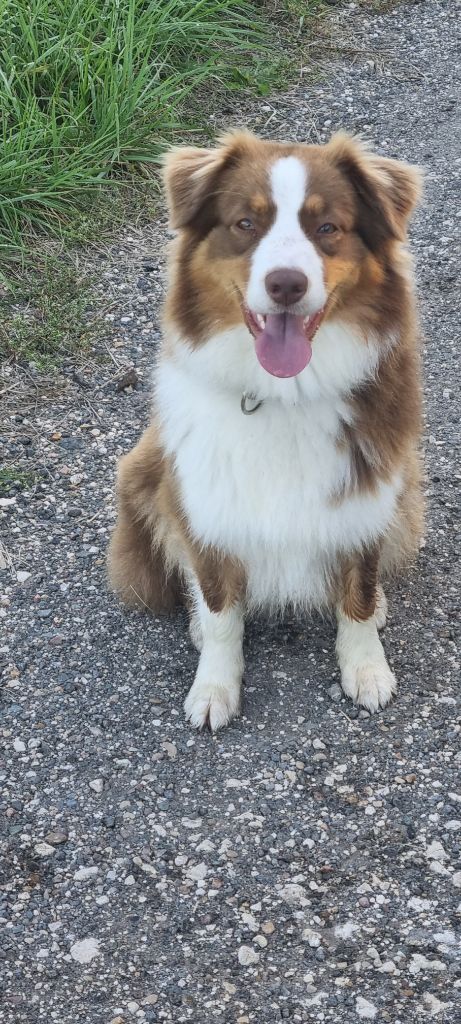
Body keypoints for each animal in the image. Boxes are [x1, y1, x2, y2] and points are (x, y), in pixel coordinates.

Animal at [106, 132, 424, 733]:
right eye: (245, 223)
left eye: (328, 227)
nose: (286, 283)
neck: (284, 393)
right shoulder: (207, 501)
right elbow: (219, 606)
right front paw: (214, 686)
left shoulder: (369, 493)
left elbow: (358, 591)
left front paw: (367, 668)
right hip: (146, 472)